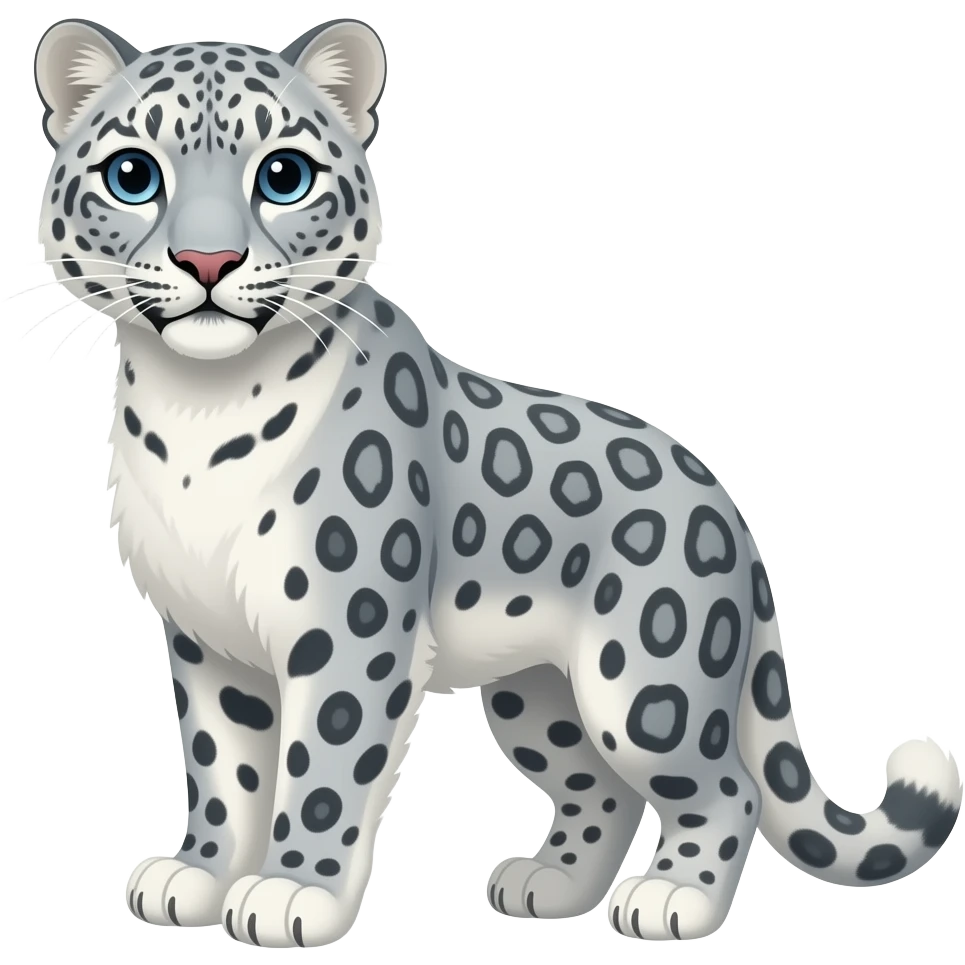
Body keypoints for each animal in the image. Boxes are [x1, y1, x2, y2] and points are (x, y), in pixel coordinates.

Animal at [31, 16, 963, 949]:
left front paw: (293, 891)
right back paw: (547, 883)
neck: (197, 414)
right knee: (602, 788)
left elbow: (323, 767)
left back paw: (671, 898)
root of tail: (725, 506)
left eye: (283, 175)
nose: (208, 259)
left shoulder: (350, 629)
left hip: (643, 685)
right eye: (132, 174)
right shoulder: (207, 637)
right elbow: (224, 768)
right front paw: (198, 872)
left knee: (724, 784)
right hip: (534, 698)